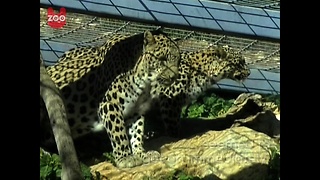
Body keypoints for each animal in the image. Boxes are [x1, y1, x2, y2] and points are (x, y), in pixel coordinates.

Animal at [39, 30, 180, 165]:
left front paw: (141, 153)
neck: (144, 80)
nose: (174, 76)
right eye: (162, 59)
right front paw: (125, 158)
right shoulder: (109, 103)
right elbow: (119, 132)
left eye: (177, 61)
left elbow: (137, 132)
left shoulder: (135, 110)